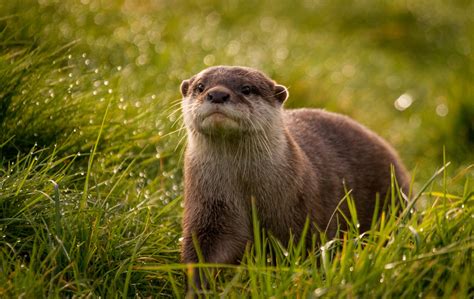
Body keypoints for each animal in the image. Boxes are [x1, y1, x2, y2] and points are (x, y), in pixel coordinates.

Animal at [180, 65, 410, 290]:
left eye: (246, 88)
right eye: (200, 87)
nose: (217, 94)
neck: (247, 189)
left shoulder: (302, 213)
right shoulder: (210, 207)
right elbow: (204, 249)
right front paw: (197, 287)